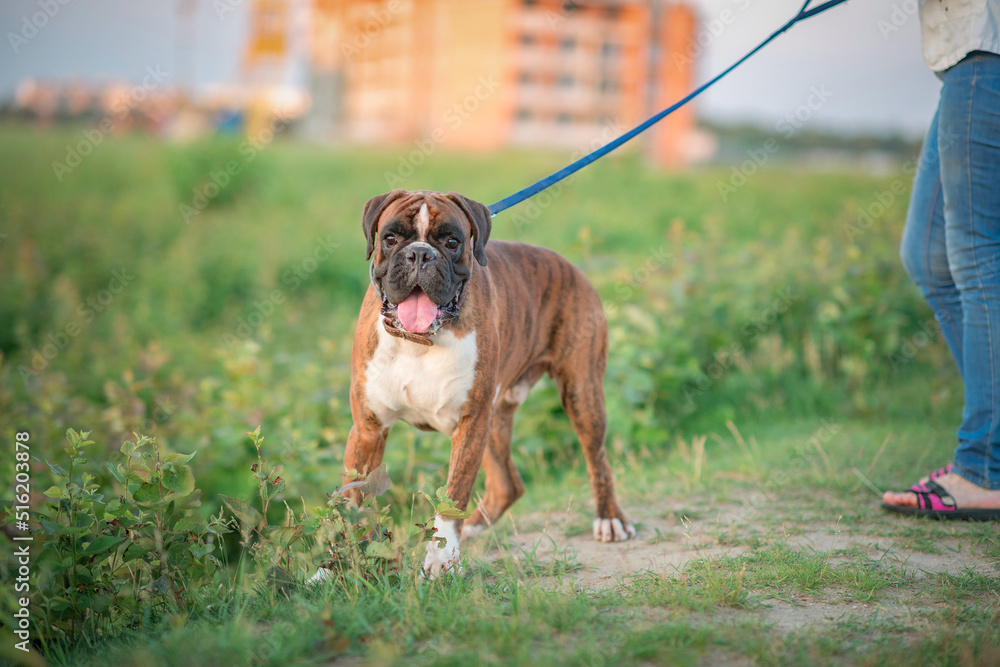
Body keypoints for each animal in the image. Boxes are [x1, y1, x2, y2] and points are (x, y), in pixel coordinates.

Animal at [344, 188, 632, 576]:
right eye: (390, 238)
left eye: (452, 242)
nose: (419, 254)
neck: (419, 341)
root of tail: (570, 266)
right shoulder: (368, 429)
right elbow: (350, 504)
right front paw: (333, 568)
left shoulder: (470, 424)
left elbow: (454, 494)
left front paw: (441, 558)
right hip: (496, 419)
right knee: (509, 485)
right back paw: (475, 527)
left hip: (581, 395)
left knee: (597, 460)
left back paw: (609, 519)